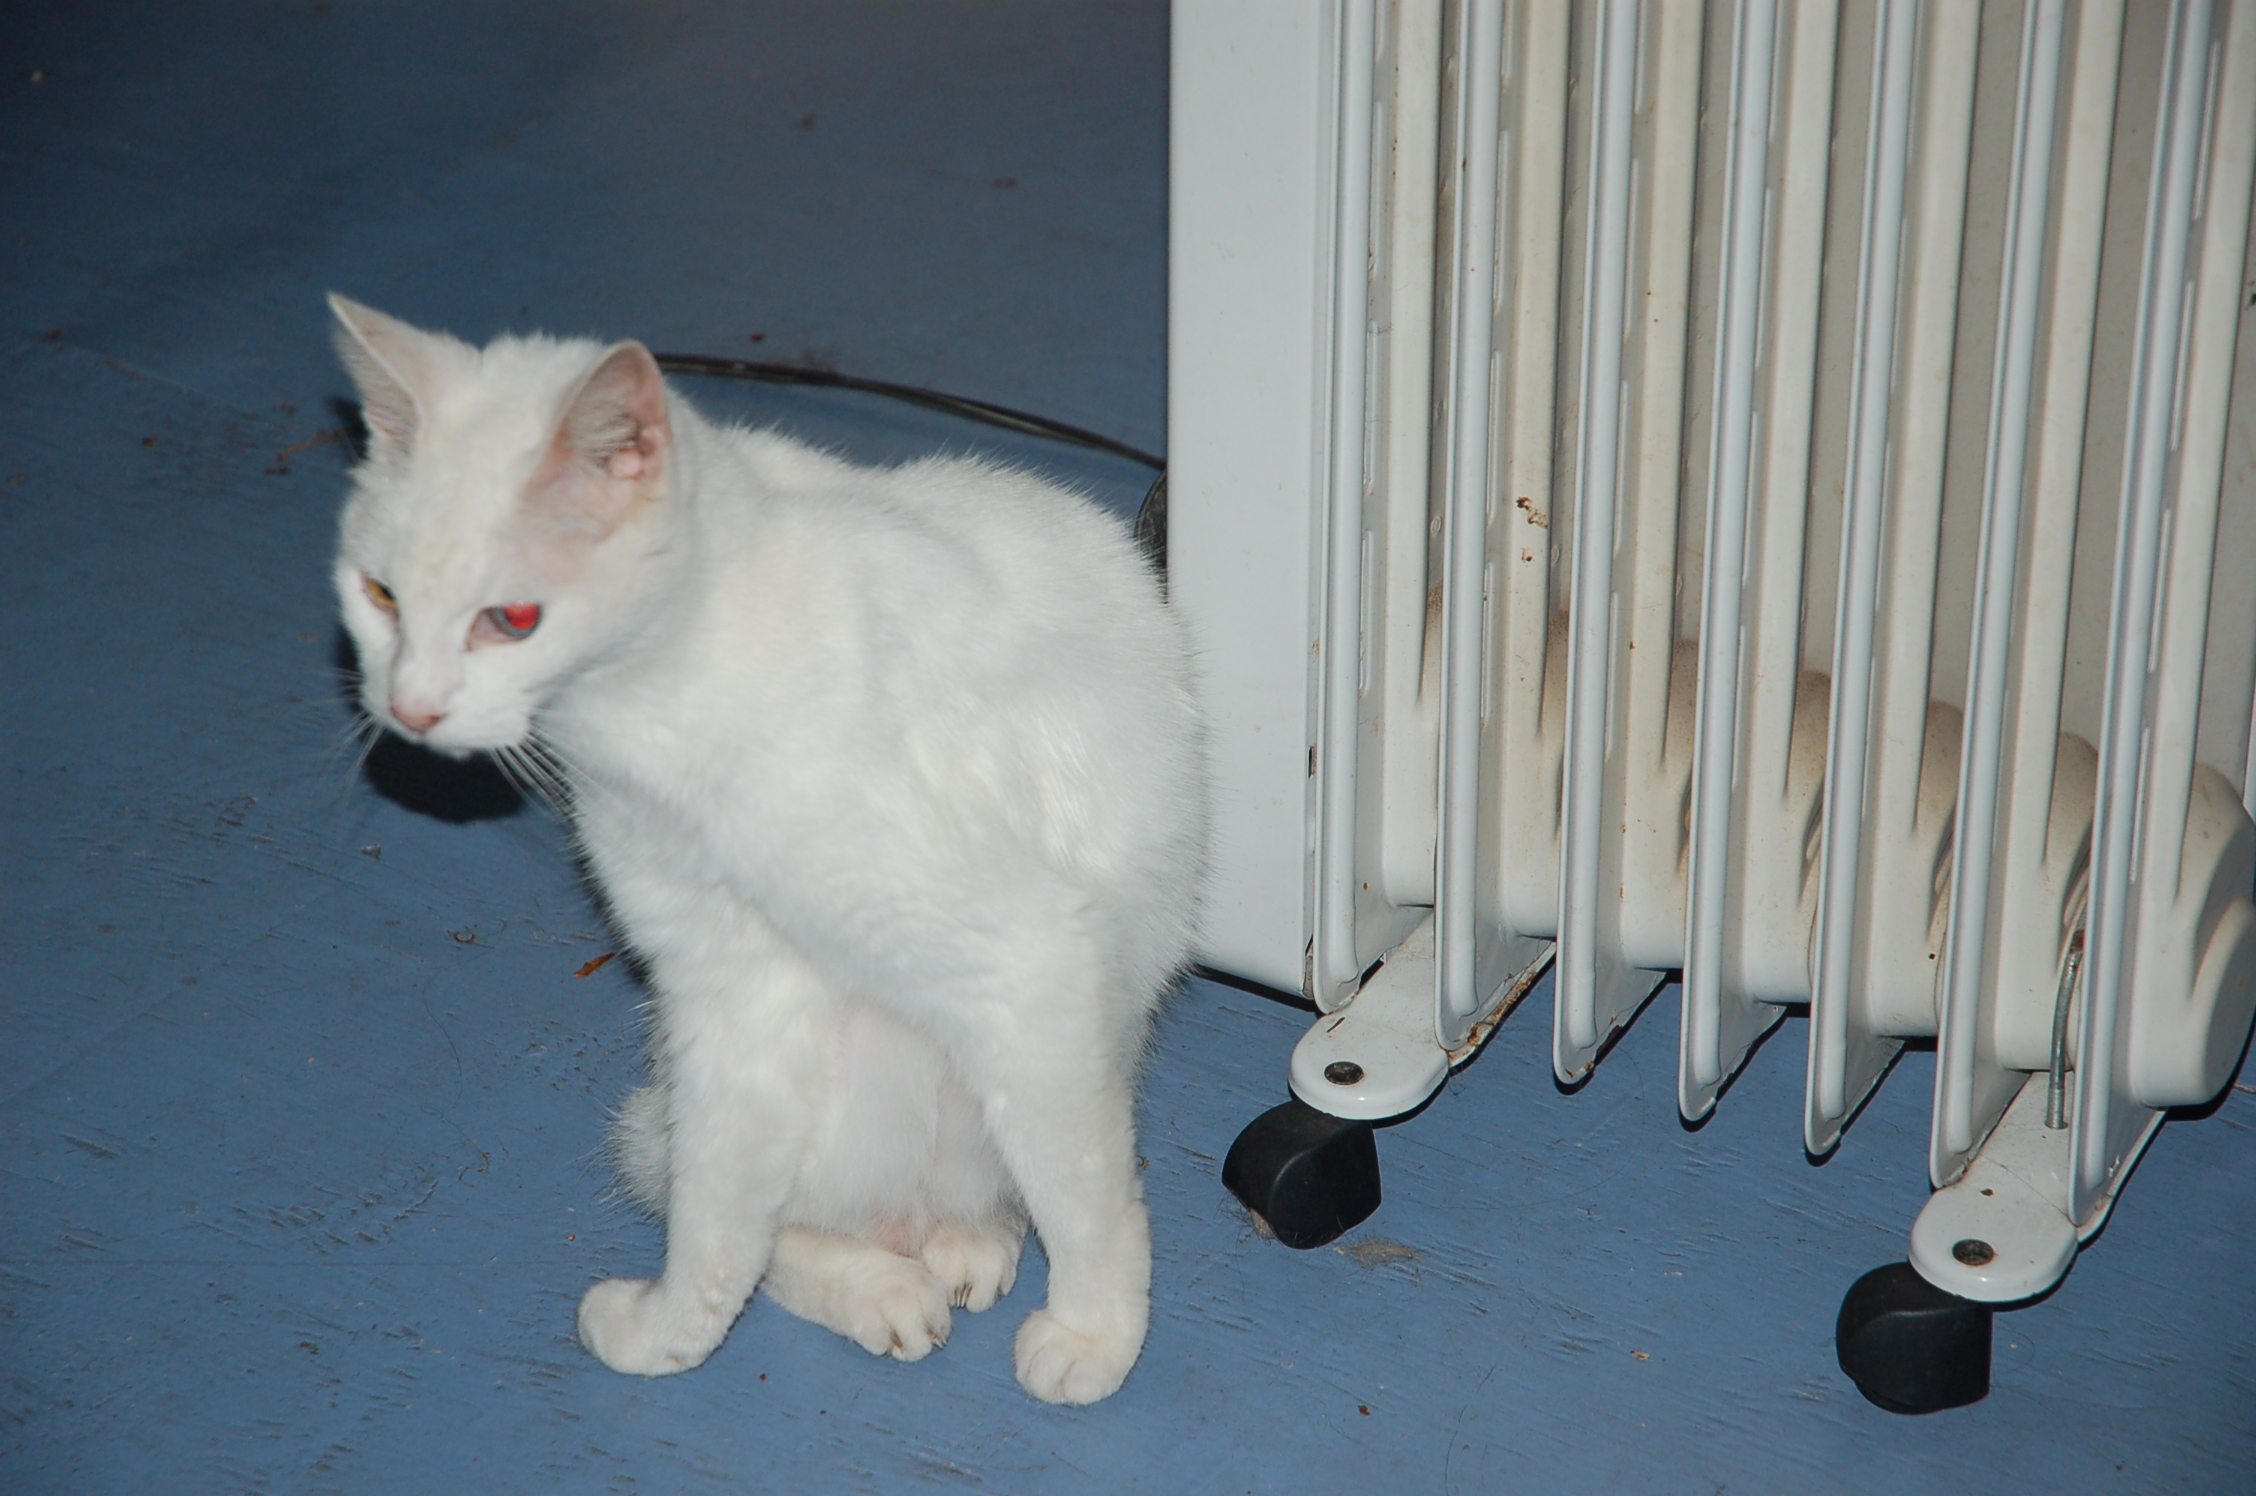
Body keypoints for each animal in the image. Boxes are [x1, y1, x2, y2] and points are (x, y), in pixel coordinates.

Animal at [326, 295, 1206, 1405]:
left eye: (511, 619)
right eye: (381, 595)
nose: (409, 709)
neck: (656, 710)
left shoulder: (1024, 957)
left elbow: (1087, 1195)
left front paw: (1094, 1335)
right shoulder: (730, 988)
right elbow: (715, 1222)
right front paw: (659, 1335)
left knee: (1029, 1167)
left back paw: (969, 1247)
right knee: (730, 1191)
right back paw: (887, 1286)